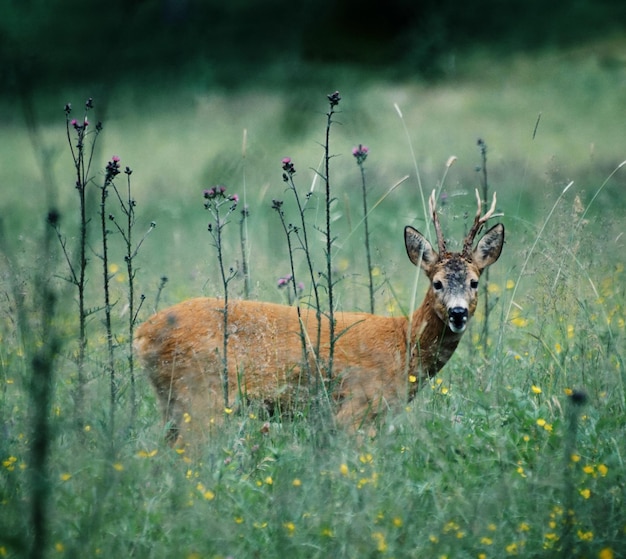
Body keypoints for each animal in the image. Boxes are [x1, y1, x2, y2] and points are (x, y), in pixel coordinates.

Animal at [135, 190, 502, 444]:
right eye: (436, 282)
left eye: (474, 282)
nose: (458, 313)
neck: (403, 344)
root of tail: (142, 333)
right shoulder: (357, 406)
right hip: (199, 394)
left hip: (172, 401)